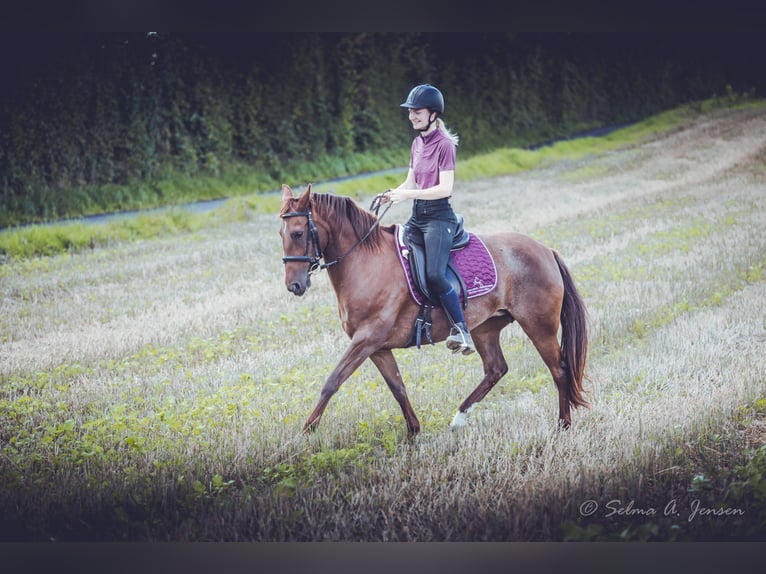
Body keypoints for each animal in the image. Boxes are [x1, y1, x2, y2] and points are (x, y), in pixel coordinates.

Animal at [280, 184, 592, 436]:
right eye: (281, 234)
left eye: (298, 233)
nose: (294, 285)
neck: (366, 262)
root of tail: (546, 250)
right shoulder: (377, 347)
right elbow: (398, 388)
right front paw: (414, 432)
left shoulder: (367, 339)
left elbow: (332, 381)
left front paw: (307, 431)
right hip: (485, 328)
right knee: (496, 369)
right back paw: (459, 419)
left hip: (539, 326)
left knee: (559, 371)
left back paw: (563, 426)